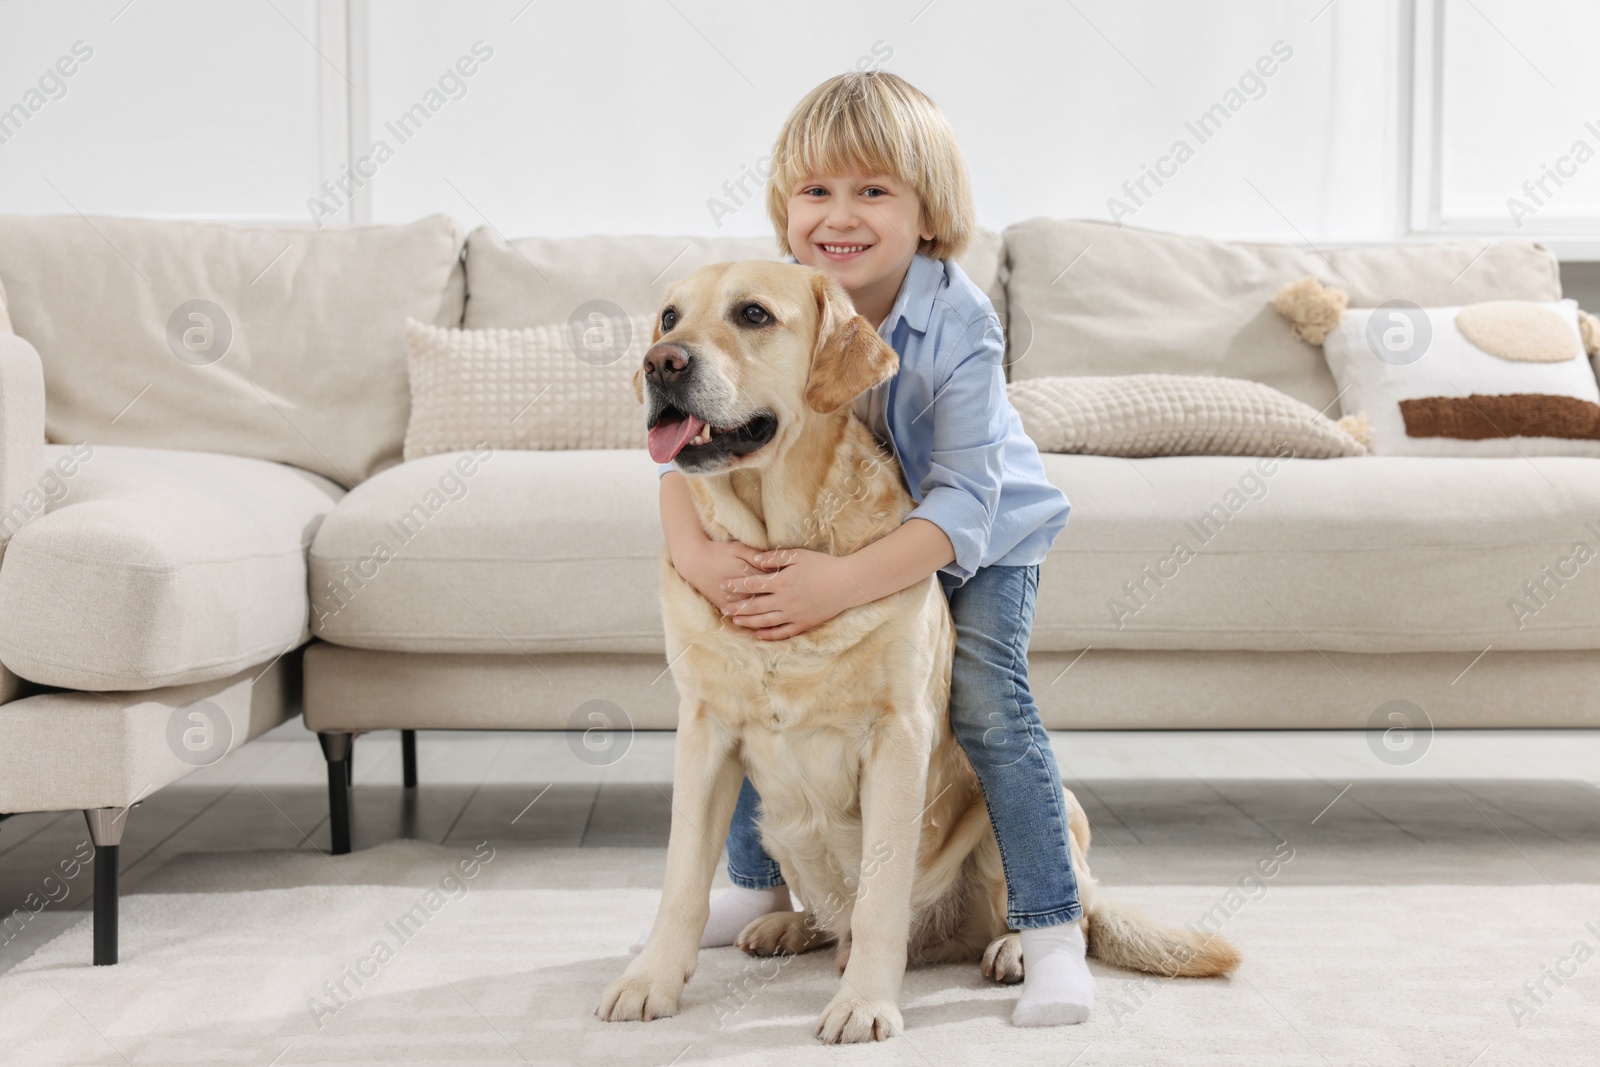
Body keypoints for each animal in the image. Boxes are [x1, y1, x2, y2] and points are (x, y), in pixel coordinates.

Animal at [601, 259, 1235, 1043]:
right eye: (668, 317)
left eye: (753, 314)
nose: (661, 363)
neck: (781, 532)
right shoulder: (704, 730)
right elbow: (682, 879)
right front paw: (651, 980)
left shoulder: (896, 736)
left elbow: (881, 896)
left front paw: (866, 1003)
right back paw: (787, 925)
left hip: (1042, 817)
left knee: (1066, 908)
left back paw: (1022, 952)